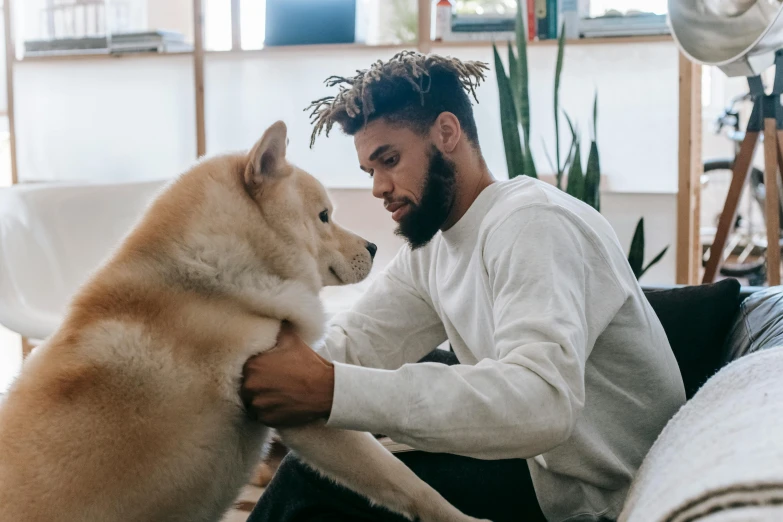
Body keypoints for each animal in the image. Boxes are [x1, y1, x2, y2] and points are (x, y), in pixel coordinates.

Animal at [0, 121, 490, 520]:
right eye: (324, 216)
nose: (372, 247)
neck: (210, 286)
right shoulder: (297, 411)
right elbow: (405, 480)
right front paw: (465, 520)